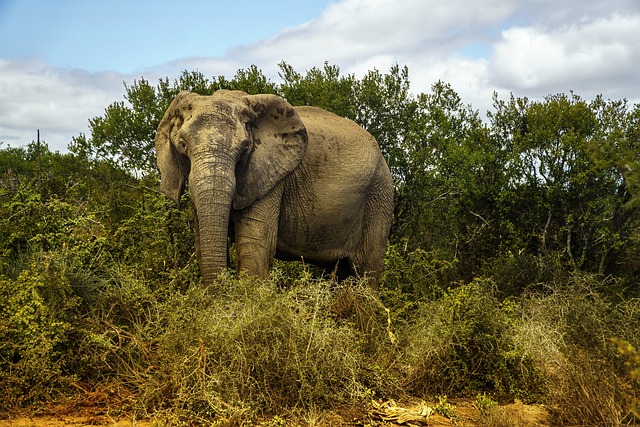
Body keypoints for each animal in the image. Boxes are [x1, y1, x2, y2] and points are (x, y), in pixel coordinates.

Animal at [156, 90, 396, 290]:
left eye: (244, 150)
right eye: (183, 146)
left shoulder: (271, 178)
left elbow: (255, 245)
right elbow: (200, 243)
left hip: (379, 194)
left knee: (365, 270)